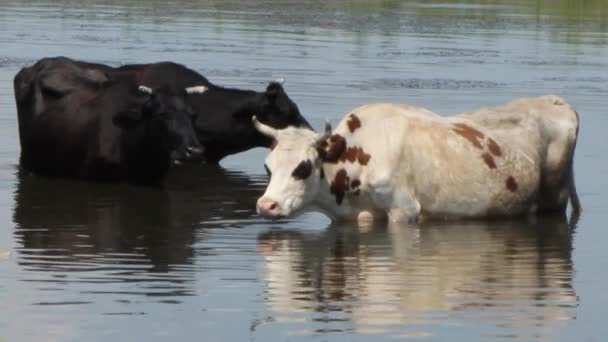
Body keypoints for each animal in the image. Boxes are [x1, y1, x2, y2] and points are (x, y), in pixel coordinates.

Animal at [254, 95, 580, 224]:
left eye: (304, 167)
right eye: (268, 167)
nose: (266, 205)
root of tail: (556, 101)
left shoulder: (404, 210)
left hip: (553, 201)